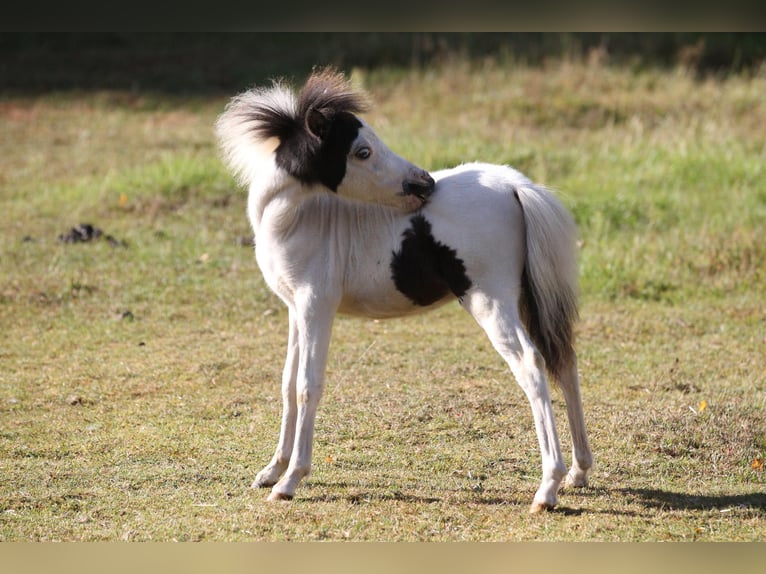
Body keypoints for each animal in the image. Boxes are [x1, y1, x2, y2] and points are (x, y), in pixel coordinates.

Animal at [216, 70, 592, 516]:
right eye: (361, 151)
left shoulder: (315, 306)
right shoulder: (295, 310)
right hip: (526, 297)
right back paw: (578, 473)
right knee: (564, 361)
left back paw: (547, 488)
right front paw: (272, 471)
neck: (300, 219)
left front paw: (290, 481)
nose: (423, 182)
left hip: (492, 302)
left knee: (532, 365)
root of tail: (517, 186)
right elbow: (289, 385)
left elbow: (309, 385)